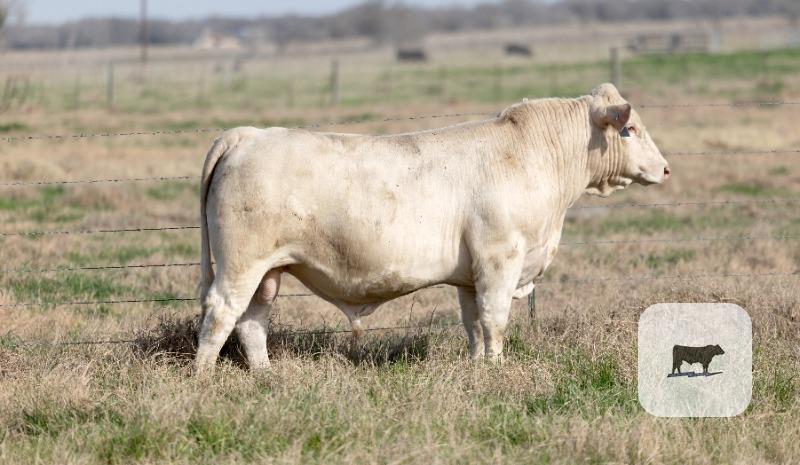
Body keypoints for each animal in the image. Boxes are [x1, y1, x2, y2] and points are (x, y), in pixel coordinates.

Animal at [195, 83, 670, 372]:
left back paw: (266, 374)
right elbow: (495, 319)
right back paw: (204, 378)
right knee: (221, 313)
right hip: (241, 264)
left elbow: (473, 323)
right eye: (629, 129)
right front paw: (498, 368)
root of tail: (247, 134)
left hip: (268, 271)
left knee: (252, 321)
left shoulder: (470, 274)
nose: (665, 168)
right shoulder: (500, 259)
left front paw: (479, 366)